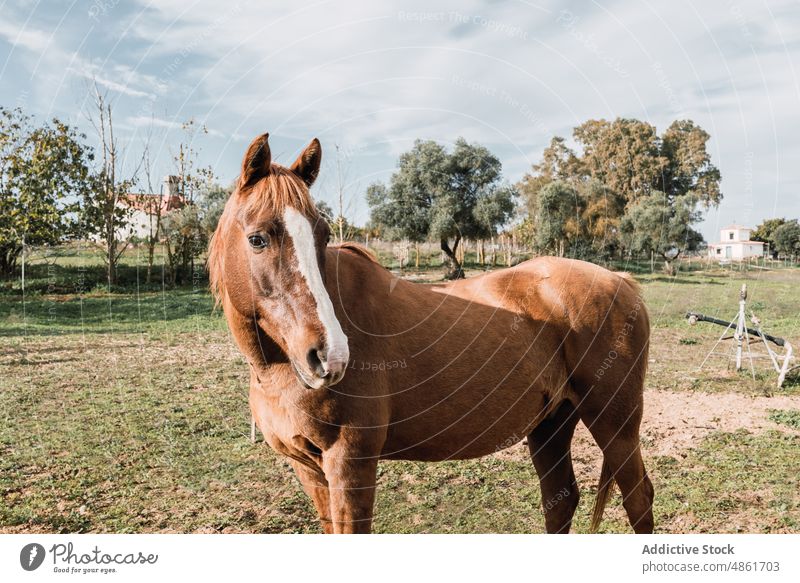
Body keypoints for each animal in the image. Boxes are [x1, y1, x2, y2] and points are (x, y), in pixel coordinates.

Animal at [209, 132, 652, 532]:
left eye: (323, 234)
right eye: (257, 239)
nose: (330, 357)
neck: (278, 368)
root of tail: (620, 281)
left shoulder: (350, 462)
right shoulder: (308, 467)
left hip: (615, 424)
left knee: (639, 498)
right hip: (552, 425)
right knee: (561, 500)